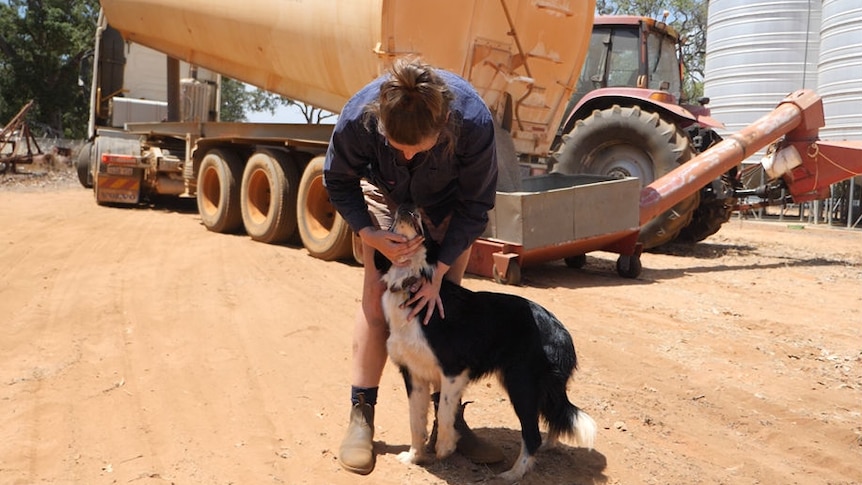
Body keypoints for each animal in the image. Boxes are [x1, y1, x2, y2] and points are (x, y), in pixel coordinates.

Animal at [382, 203, 596, 480]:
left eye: (425, 221)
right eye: (390, 223)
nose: (407, 206)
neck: (412, 281)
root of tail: (560, 330)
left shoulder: (454, 370)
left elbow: (444, 410)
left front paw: (445, 447)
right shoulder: (414, 374)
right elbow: (415, 420)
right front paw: (414, 456)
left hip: (522, 382)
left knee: (532, 434)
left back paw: (512, 475)